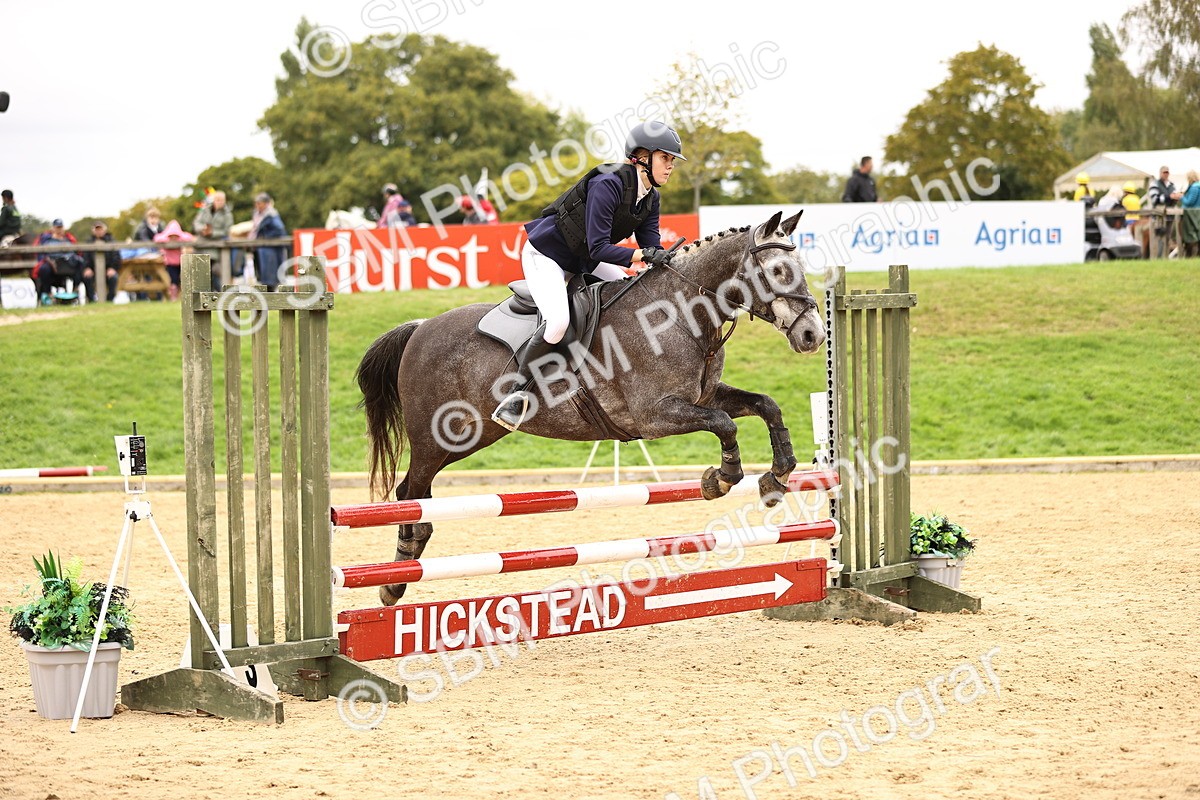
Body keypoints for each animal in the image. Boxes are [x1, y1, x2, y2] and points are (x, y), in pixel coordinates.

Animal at [355, 210, 826, 605]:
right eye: (778, 271)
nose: (813, 335)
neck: (681, 313)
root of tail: (419, 328)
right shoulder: (655, 415)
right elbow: (726, 425)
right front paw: (721, 477)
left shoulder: (703, 398)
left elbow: (766, 406)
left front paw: (777, 476)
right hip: (439, 437)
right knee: (409, 494)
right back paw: (395, 581)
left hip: (474, 434)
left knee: (418, 493)